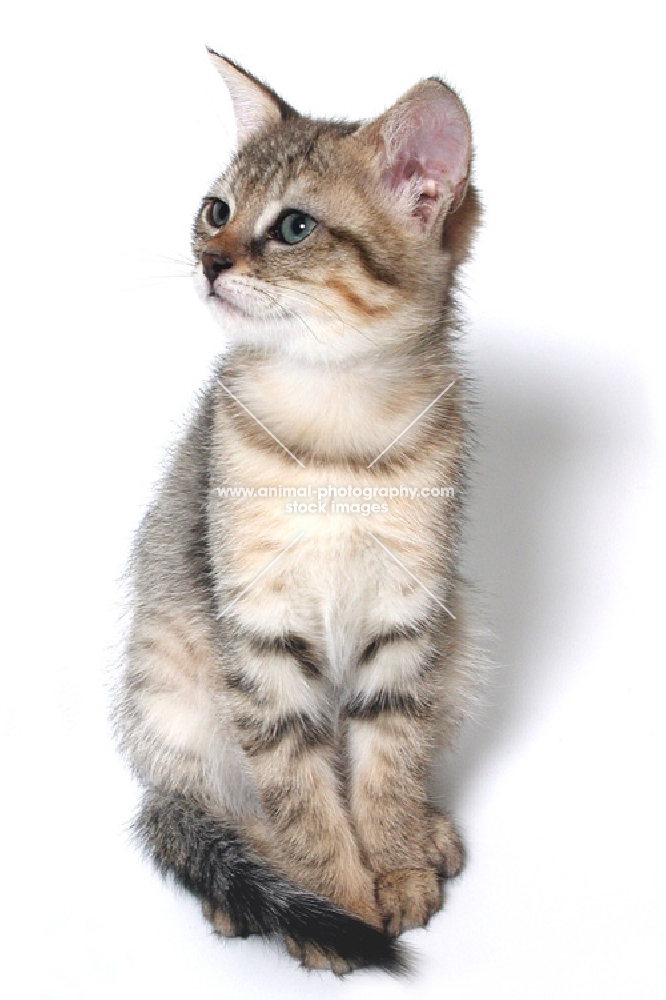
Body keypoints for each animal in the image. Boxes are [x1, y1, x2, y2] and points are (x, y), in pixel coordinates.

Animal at [114, 48, 478, 976]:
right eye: (216, 210)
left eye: (293, 228)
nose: (211, 260)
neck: (334, 427)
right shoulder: (259, 631)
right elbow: (301, 791)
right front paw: (337, 904)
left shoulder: (406, 616)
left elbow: (386, 761)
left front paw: (394, 862)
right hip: (170, 693)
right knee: (208, 804)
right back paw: (254, 879)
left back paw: (426, 835)